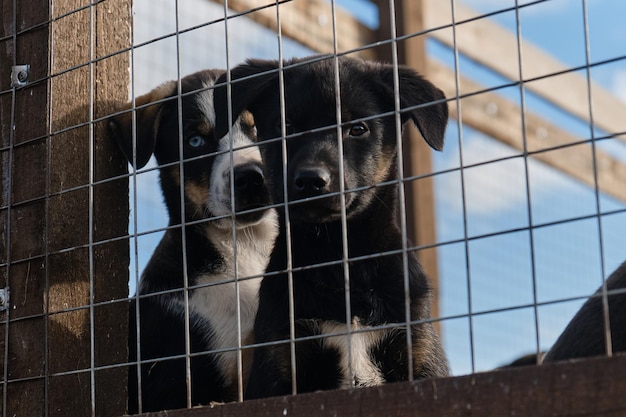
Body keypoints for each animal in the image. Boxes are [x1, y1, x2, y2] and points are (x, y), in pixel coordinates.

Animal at [214, 55, 448, 396]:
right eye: (286, 127)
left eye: (358, 129)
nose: (311, 180)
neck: (336, 255)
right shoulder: (278, 362)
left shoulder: (419, 355)